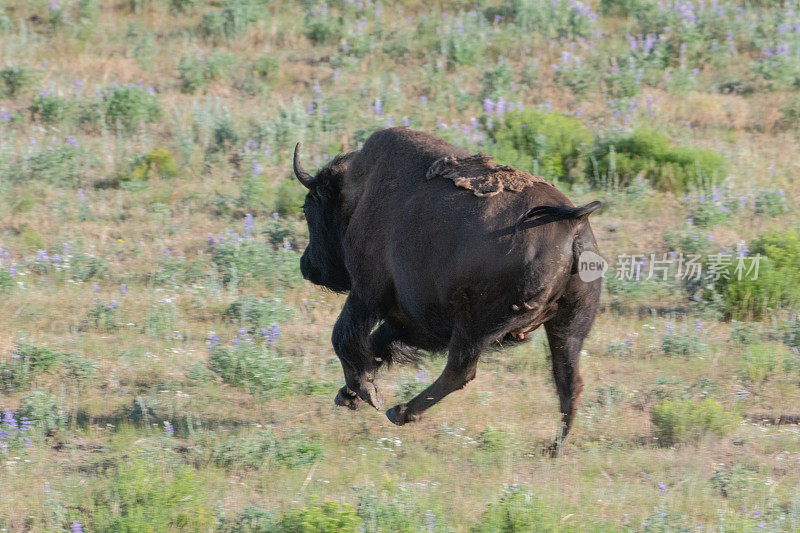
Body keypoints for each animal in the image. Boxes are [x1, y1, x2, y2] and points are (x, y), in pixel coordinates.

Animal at [292, 128, 600, 448]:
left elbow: (344, 337)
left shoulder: (367, 292)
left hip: (475, 327)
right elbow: (375, 346)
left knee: (460, 371)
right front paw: (349, 395)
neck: (360, 192)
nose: (307, 265)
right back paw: (555, 447)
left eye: (310, 207)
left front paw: (366, 393)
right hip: (567, 327)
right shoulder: (405, 318)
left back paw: (399, 411)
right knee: (568, 381)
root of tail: (574, 223)